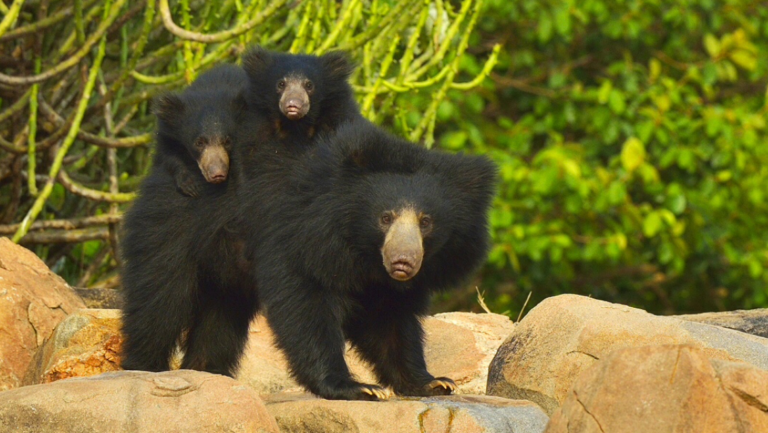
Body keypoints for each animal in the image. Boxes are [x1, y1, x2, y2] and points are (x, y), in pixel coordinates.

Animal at [153, 64, 247, 198]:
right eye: (199, 143)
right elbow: (167, 152)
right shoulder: (168, 131)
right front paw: (189, 186)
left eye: (227, 142)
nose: (217, 174)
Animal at [229, 119, 498, 400]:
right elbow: (303, 307)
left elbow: (389, 322)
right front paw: (356, 387)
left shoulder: (380, 284)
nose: (402, 262)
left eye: (426, 221)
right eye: (385, 217)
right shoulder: (294, 239)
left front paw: (433, 383)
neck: (361, 253)